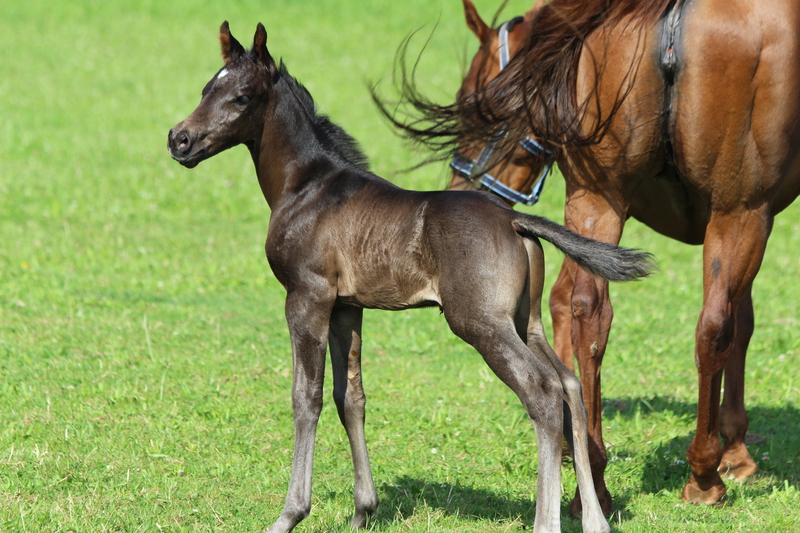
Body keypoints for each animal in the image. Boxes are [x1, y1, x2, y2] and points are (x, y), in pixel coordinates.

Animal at [167, 21, 654, 533]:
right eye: (207, 88)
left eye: (241, 97)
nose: (179, 139)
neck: (306, 187)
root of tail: (514, 220)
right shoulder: (347, 307)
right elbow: (350, 397)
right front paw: (363, 510)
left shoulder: (307, 297)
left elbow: (307, 397)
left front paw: (290, 514)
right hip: (526, 321)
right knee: (569, 386)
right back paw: (595, 520)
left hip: (480, 322)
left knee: (542, 391)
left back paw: (547, 521)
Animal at [380, 0, 800, 515]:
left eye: (472, 103)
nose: (461, 191)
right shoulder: (751, 213)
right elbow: (740, 324)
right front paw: (736, 451)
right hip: (736, 211)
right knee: (713, 324)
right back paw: (703, 475)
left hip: (600, 196)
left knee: (590, 310)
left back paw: (592, 481)